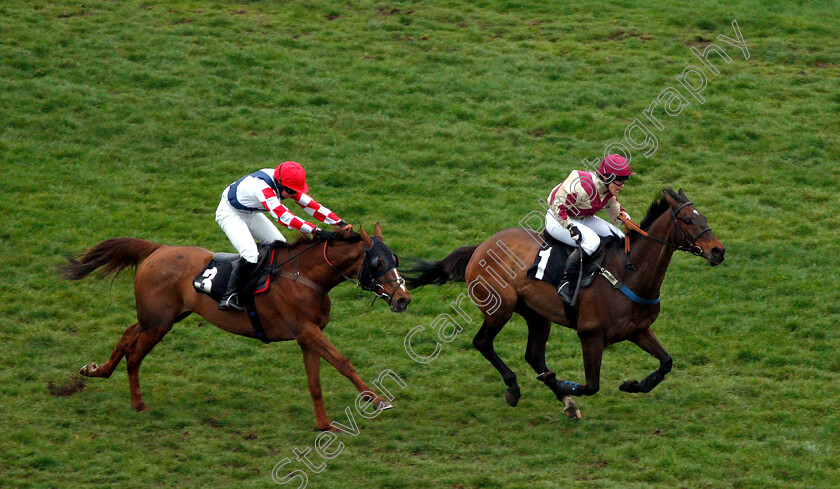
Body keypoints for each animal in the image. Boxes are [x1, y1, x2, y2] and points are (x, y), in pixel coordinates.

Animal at [61, 223, 410, 428]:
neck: (304, 276)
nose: (403, 299)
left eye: (394, 258)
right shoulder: (306, 330)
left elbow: (315, 382)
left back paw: (96, 370)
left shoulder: (307, 336)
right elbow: (342, 362)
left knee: (127, 335)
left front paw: (323, 425)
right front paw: (376, 399)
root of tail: (158, 249)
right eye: (378, 262)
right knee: (134, 354)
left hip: (160, 317)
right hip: (160, 323)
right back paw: (138, 403)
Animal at [404, 189, 724, 418]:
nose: (718, 251)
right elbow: (592, 385)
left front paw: (633, 385)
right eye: (688, 220)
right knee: (483, 343)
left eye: (705, 217)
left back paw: (564, 400)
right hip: (500, 308)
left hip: (537, 315)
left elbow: (666, 362)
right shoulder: (590, 335)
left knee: (534, 355)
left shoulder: (639, 330)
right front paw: (566, 384)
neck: (629, 273)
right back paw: (516, 388)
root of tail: (480, 247)